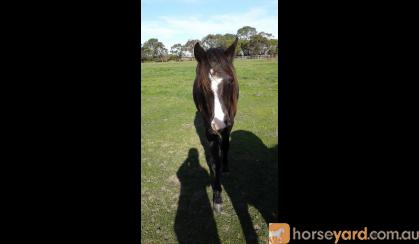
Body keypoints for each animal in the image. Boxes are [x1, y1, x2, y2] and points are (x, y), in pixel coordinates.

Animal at [194, 37, 240, 211]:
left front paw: (226, 168)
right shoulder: (209, 129)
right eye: (202, 85)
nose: (219, 123)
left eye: (231, 81)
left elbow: (226, 145)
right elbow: (215, 162)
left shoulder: (229, 124)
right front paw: (218, 196)